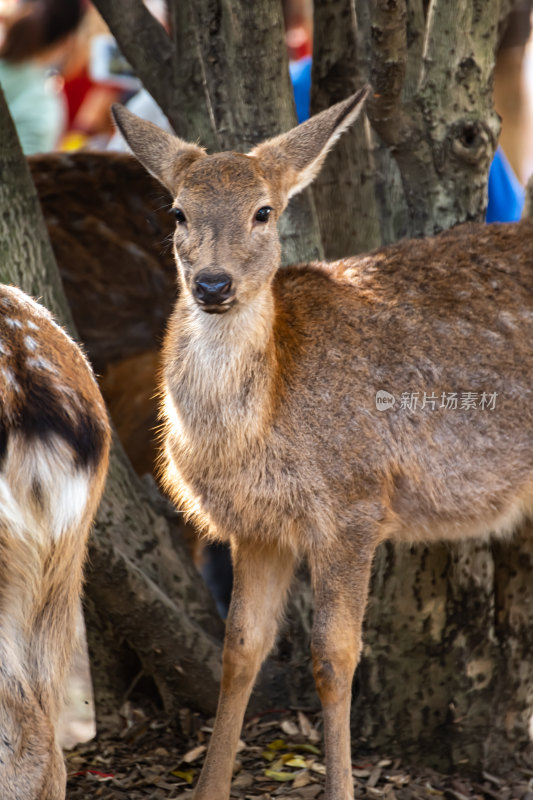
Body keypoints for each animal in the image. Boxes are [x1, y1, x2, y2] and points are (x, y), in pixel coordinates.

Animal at [113, 87, 532, 800]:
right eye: (178, 211)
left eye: (263, 211)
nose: (213, 285)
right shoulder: (254, 528)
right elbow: (240, 648)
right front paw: (208, 788)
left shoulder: (353, 504)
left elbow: (333, 659)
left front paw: (340, 788)